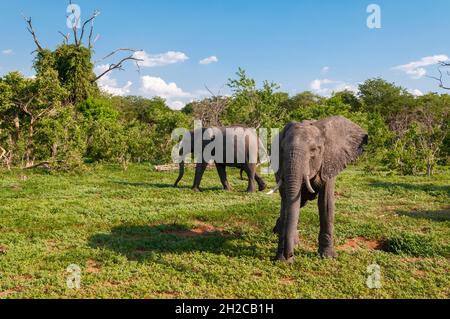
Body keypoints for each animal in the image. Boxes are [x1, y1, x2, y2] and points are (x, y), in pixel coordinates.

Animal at [272, 116, 368, 264]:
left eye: (314, 150)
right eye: (281, 149)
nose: (290, 255)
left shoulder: (329, 163)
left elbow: (326, 203)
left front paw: (328, 257)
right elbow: (287, 203)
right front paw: (283, 260)